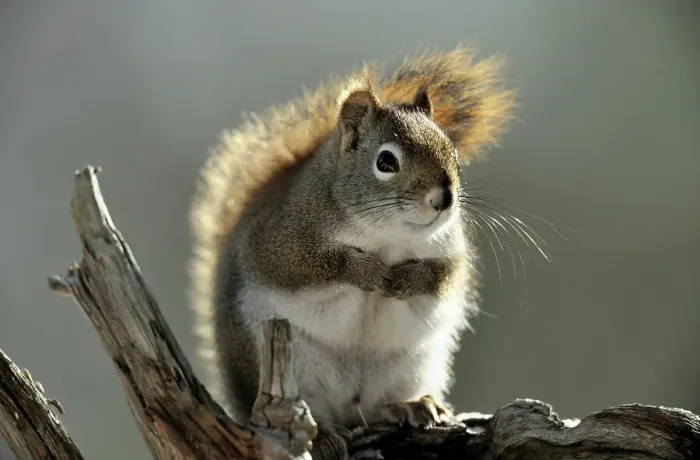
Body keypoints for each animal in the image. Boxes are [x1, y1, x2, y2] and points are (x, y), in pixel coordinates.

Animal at [188, 45, 516, 457]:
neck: (388, 234)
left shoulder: (450, 249)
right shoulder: (279, 241)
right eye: (386, 161)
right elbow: (313, 266)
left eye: (453, 154)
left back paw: (414, 405)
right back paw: (324, 434)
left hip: (414, 364)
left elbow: (445, 276)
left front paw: (408, 279)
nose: (444, 200)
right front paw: (368, 272)